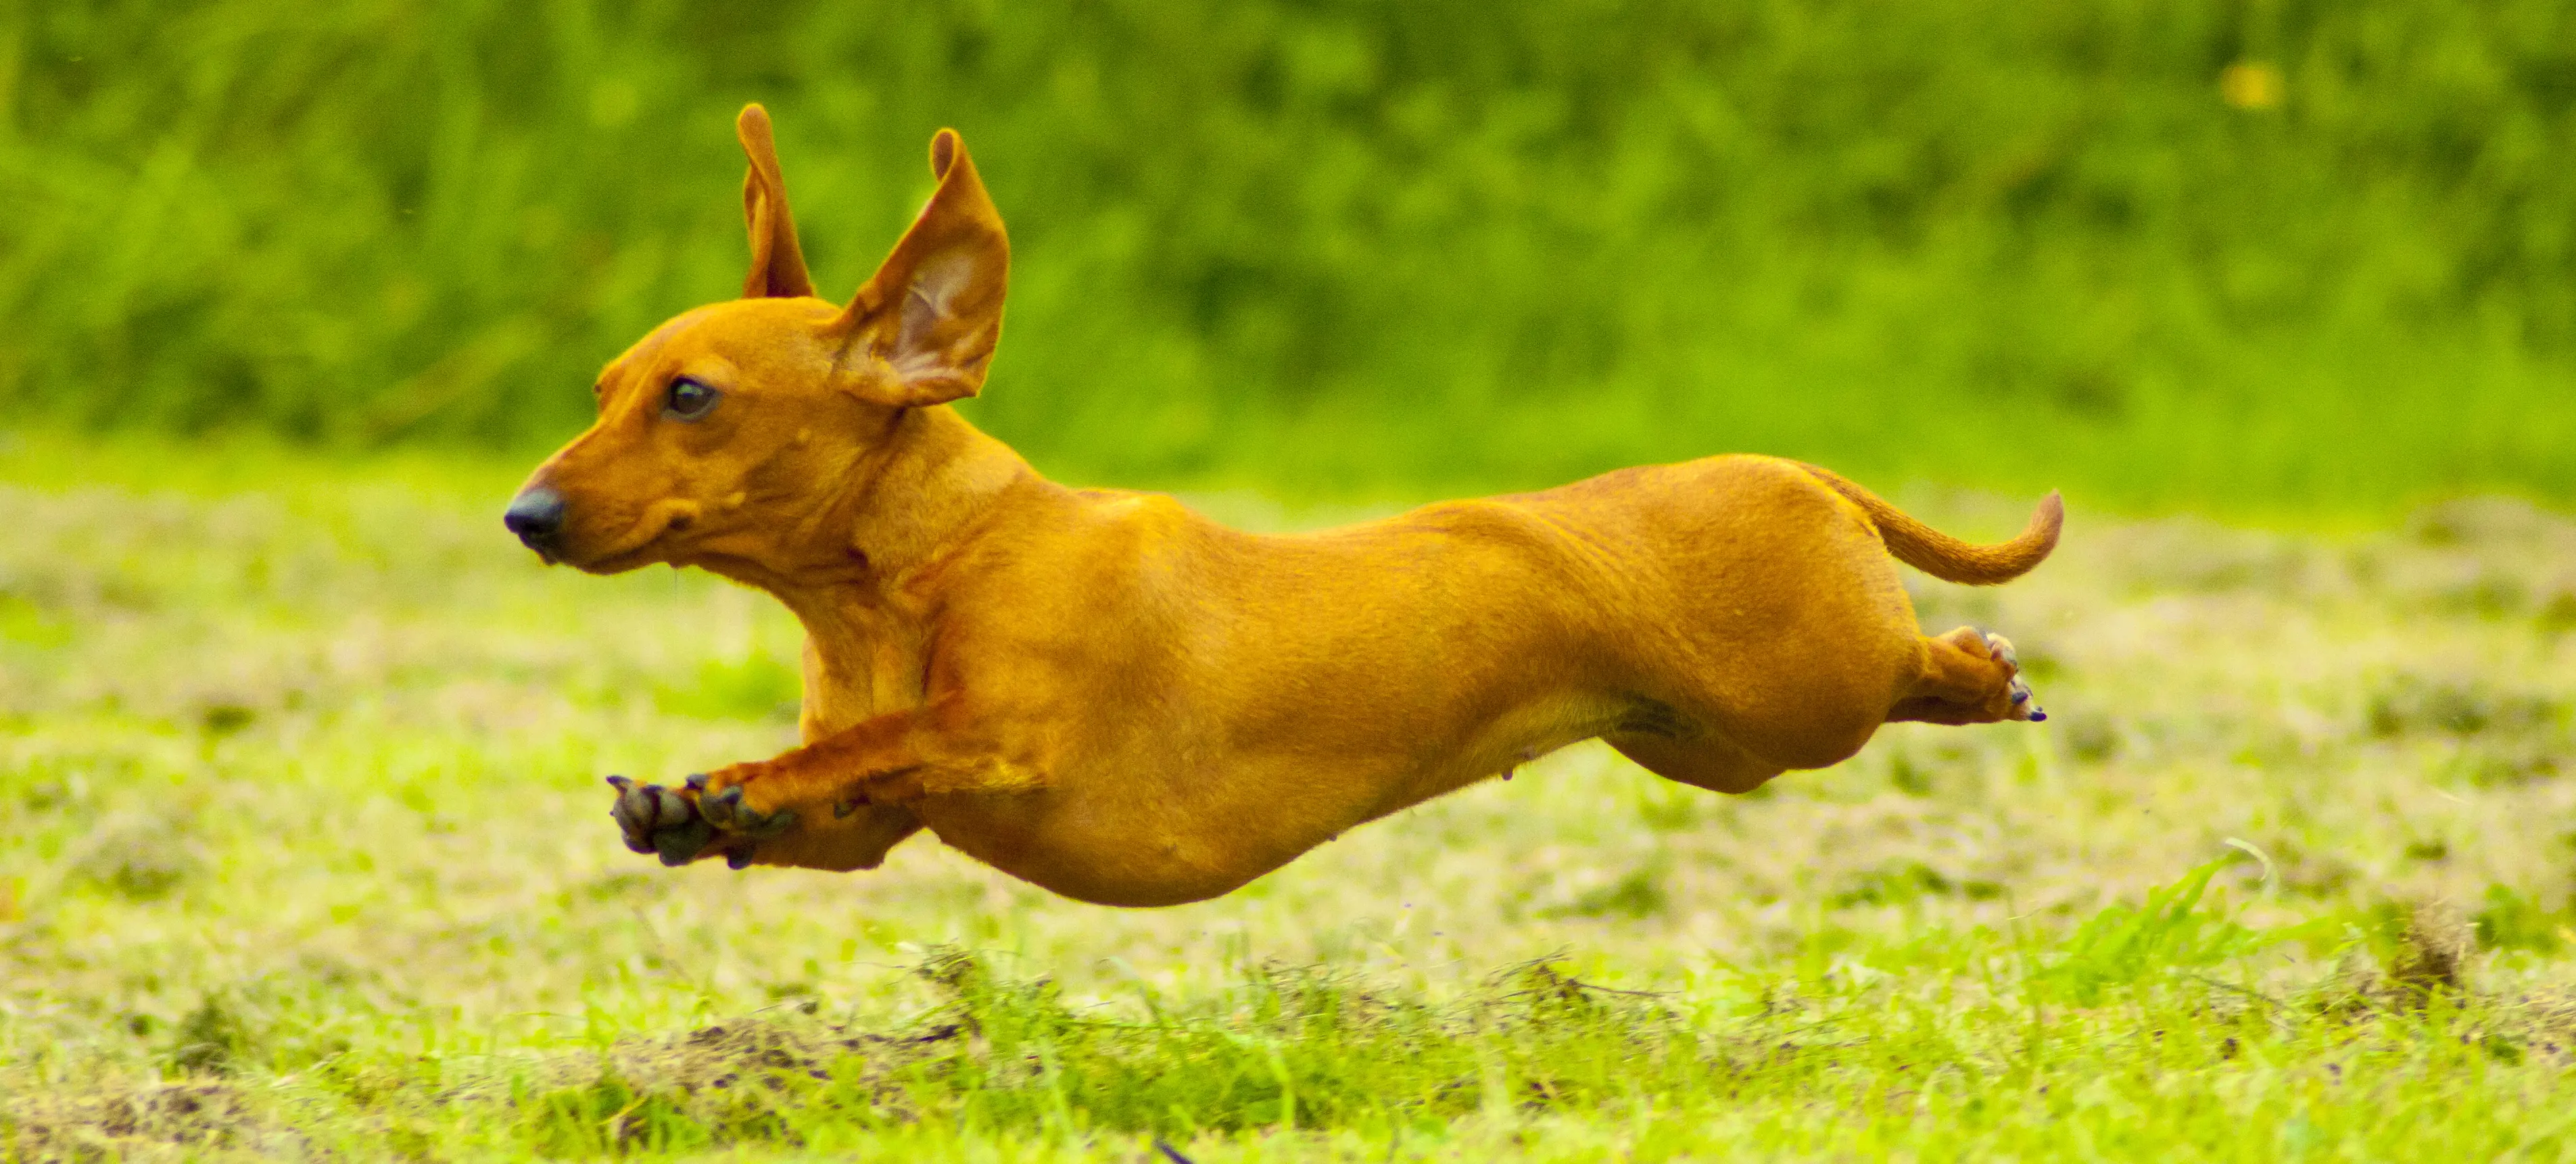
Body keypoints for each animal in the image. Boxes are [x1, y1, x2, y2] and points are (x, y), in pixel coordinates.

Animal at [512, 107, 2061, 911]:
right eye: (604, 387)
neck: (917, 570)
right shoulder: (875, 829)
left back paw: (1982, 668)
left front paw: (741, 778)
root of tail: (1795, 469)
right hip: (1707, 746)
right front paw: (696, 804)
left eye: (692, 397)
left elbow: (873, 741)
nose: (525, 518)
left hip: (1803, 695)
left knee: (1916, 667)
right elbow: (828, 790)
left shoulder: (1007, 734)